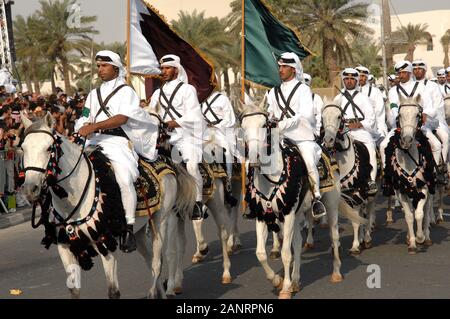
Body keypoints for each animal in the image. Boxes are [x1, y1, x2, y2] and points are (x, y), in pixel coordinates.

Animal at [20, 113, 195, 300]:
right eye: (23, 148)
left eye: (48, 148)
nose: (30, 189)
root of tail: (165, 160)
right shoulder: (65, 247)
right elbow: (74, 291)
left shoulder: (105, 243)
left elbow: (113, 291)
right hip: (140, 231)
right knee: (151, 260)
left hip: (161, 220)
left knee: (157, 262)